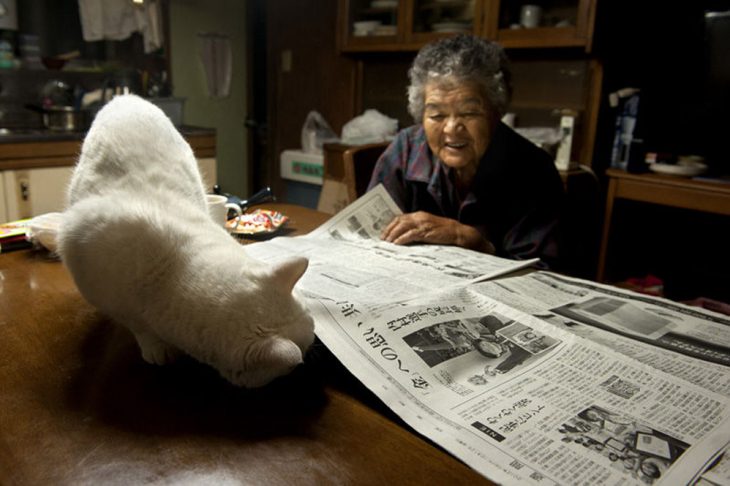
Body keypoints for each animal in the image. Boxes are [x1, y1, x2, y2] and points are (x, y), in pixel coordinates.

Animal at [58, 96, 314, 388]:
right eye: (307, 347)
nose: (314, 337)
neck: (168, 274)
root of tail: (126, 97)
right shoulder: (93, 275)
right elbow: (138, 325)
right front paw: (155, 346)